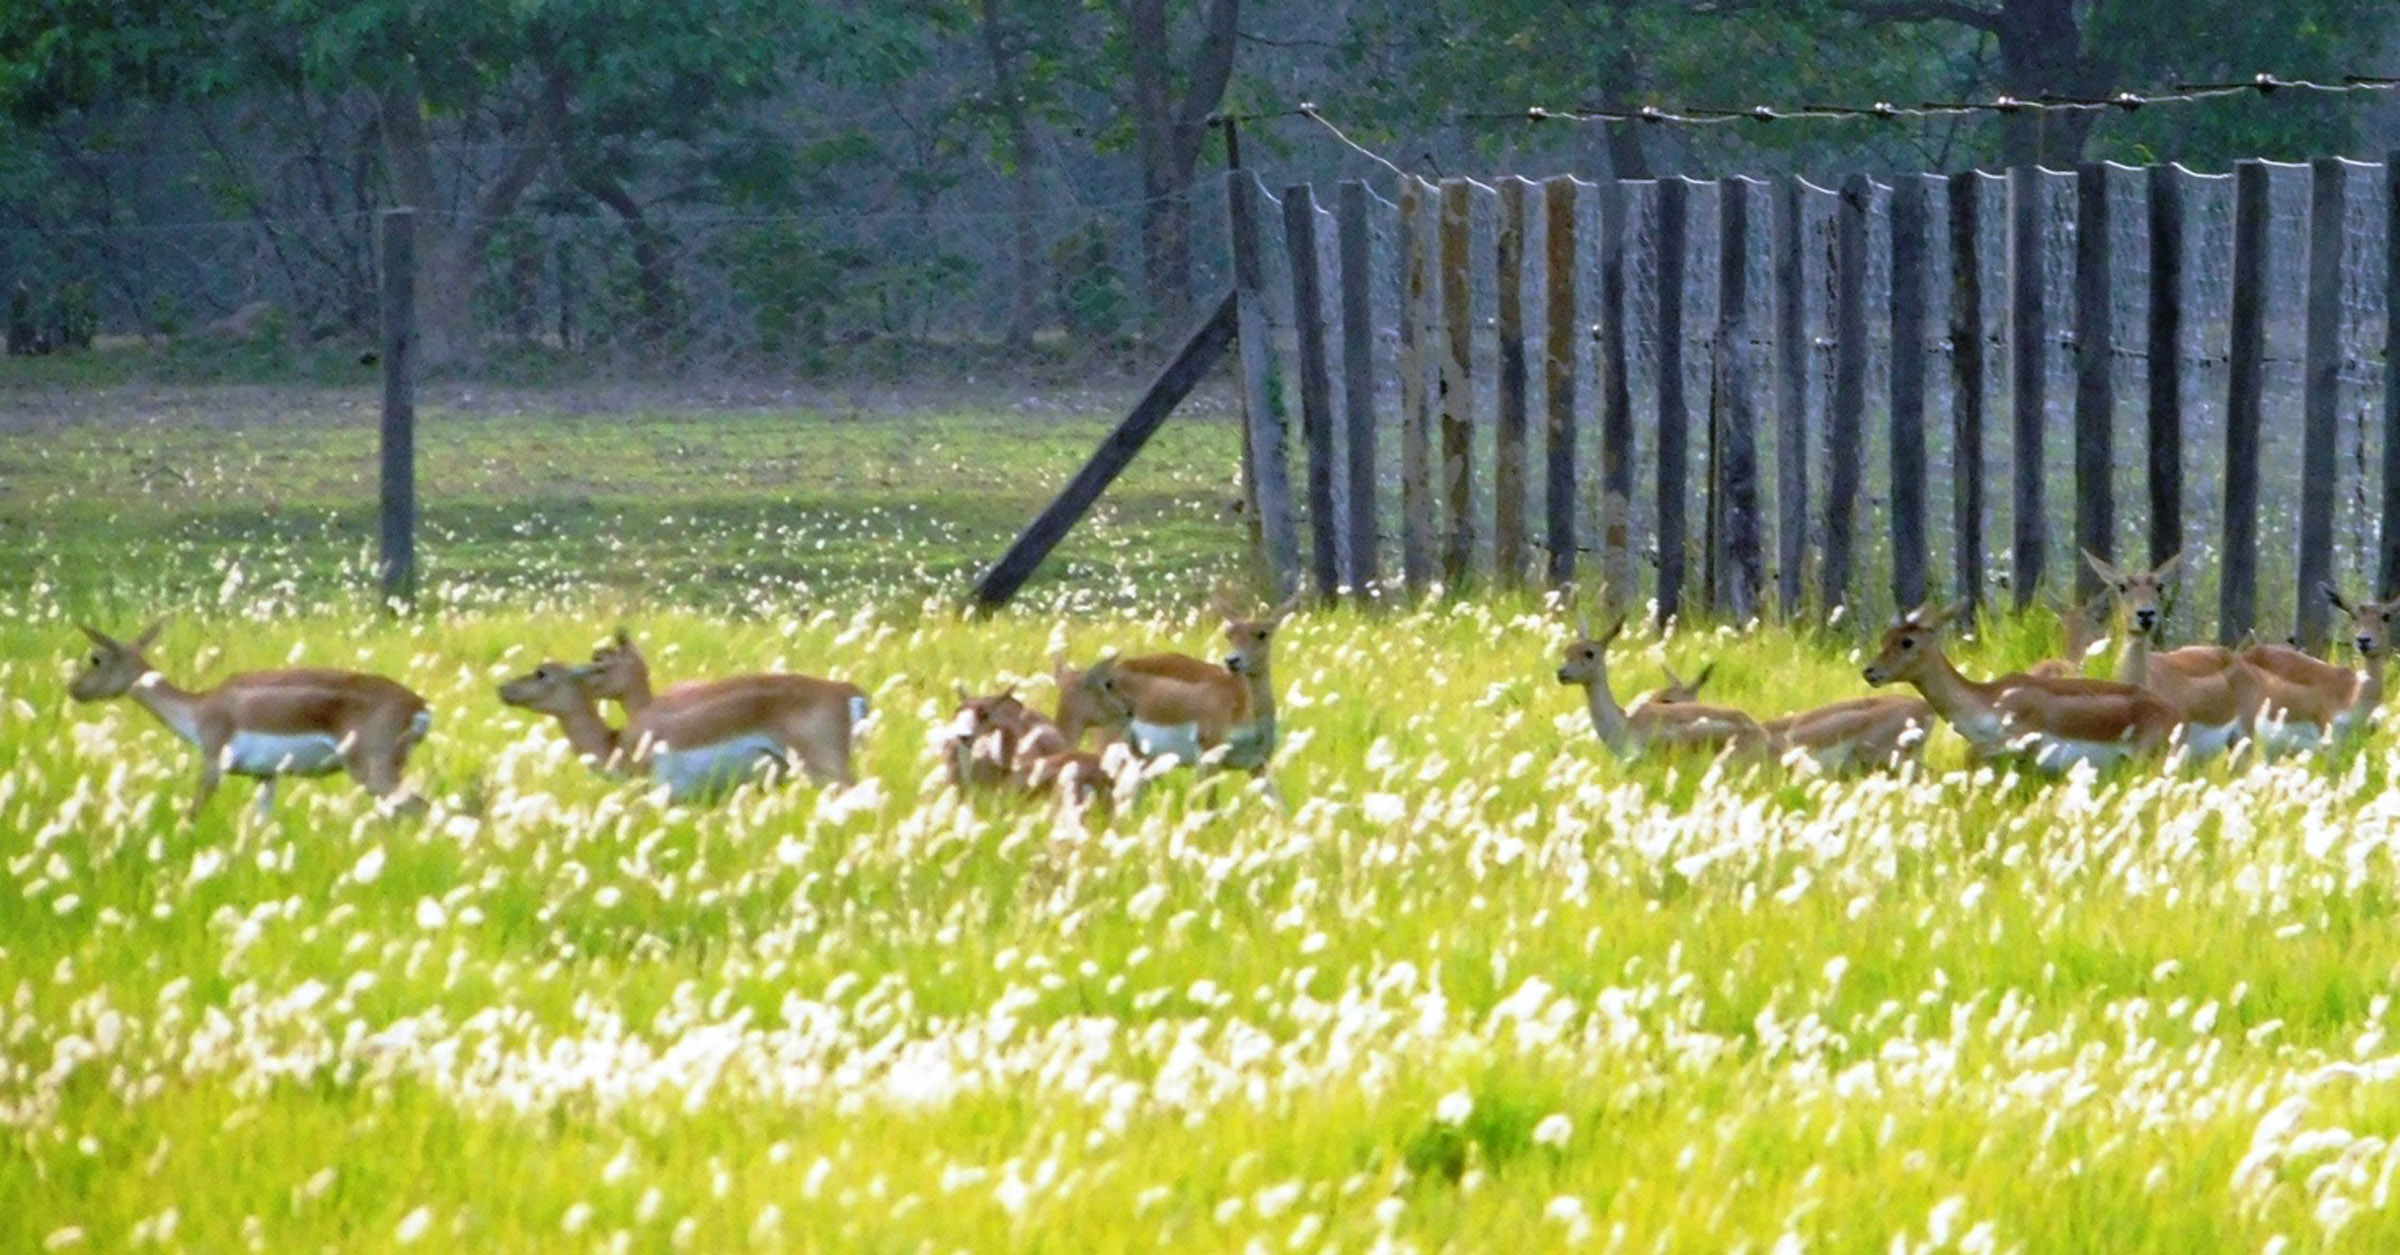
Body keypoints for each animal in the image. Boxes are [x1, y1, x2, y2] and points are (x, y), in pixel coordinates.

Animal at [69, 623, 436, 820]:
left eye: (96, 658)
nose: (74, 688)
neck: (199, 707)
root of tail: (419, 705)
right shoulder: (265, 776)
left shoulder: (212, 763)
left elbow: (192, 811)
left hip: (373, 771)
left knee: (422, 808)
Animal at [1065, 592, 1296, 777]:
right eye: (1229, 634)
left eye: (1262, 633)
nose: (1232, 661)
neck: (1243, 709)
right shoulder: (1207, 762)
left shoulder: (1258, 765)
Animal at [1862, 602, 2188, 772]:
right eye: (1885, 636)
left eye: (1907, 641)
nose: (1870, 672)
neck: (1987, 700)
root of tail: (2175, 714)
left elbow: (1971, 755)